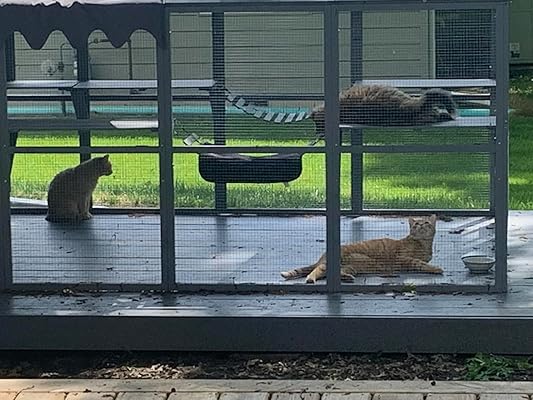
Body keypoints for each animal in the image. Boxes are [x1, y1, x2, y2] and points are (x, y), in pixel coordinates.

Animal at [281, 215, 443, 283]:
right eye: (416, 224)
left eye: (426, 223)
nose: (420, 225)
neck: (423, 244)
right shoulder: (404, 258)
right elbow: (421, 263)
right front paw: (435, 268)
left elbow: (423, 262)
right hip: (331, 264)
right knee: (316, 270)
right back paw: (310, 278)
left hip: (351, 267)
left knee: (333, 273)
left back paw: (346, 278)